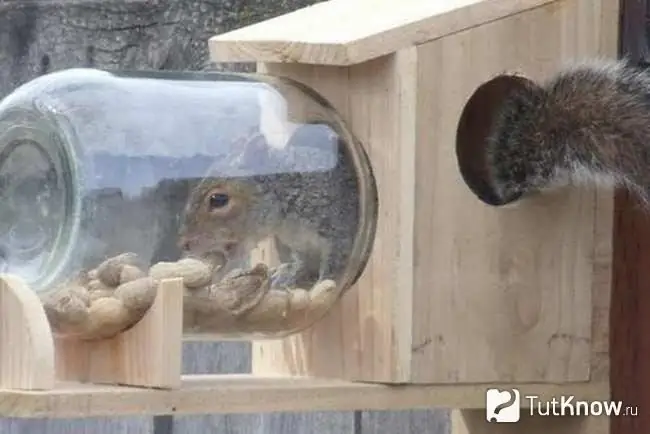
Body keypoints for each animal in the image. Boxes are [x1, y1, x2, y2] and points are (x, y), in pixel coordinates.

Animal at [175, 122, 362, 290]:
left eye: (219, 199)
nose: (184, 244)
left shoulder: (339, 228)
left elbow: (336, 261)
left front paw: (324, 283)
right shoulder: (299, 244)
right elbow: (302, 262)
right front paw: (290, 275)